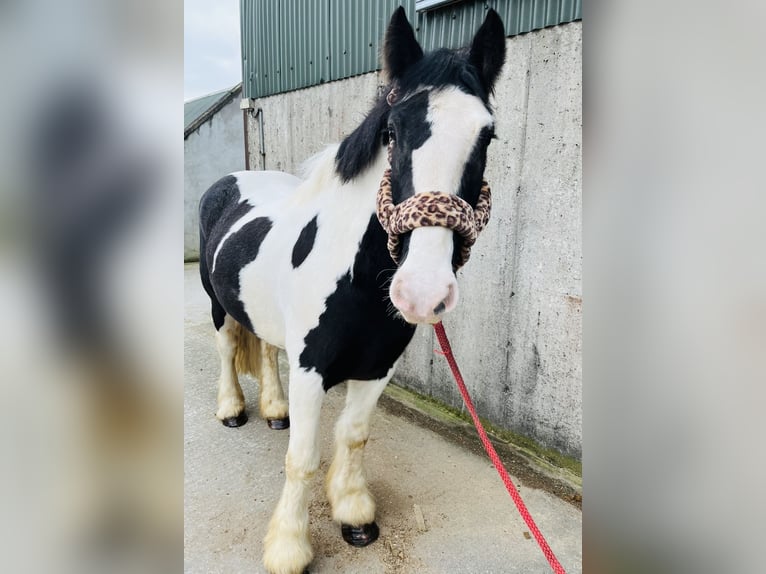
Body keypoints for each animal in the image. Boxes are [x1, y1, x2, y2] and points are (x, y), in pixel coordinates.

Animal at [198, 8, 505, 574]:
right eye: (393, 130)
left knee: (266, 350)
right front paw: (289, 548)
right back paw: (232, 410)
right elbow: (302, 459)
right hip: (216, 305)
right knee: (229, 347)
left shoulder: (377, 366)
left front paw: (354, 513)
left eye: (488, 136)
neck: (357, 280)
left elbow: (354, 435)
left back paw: (274, 411)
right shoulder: (312, 369)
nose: (423, 290)